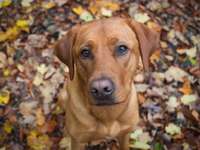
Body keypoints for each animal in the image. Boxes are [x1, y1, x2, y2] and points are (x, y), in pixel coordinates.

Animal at [54, 17, 159, 149]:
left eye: (122, 48)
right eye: (85, 52)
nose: (100, 89)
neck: (108, 114)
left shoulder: (125, 134)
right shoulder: (78, 141)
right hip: (63, 97)